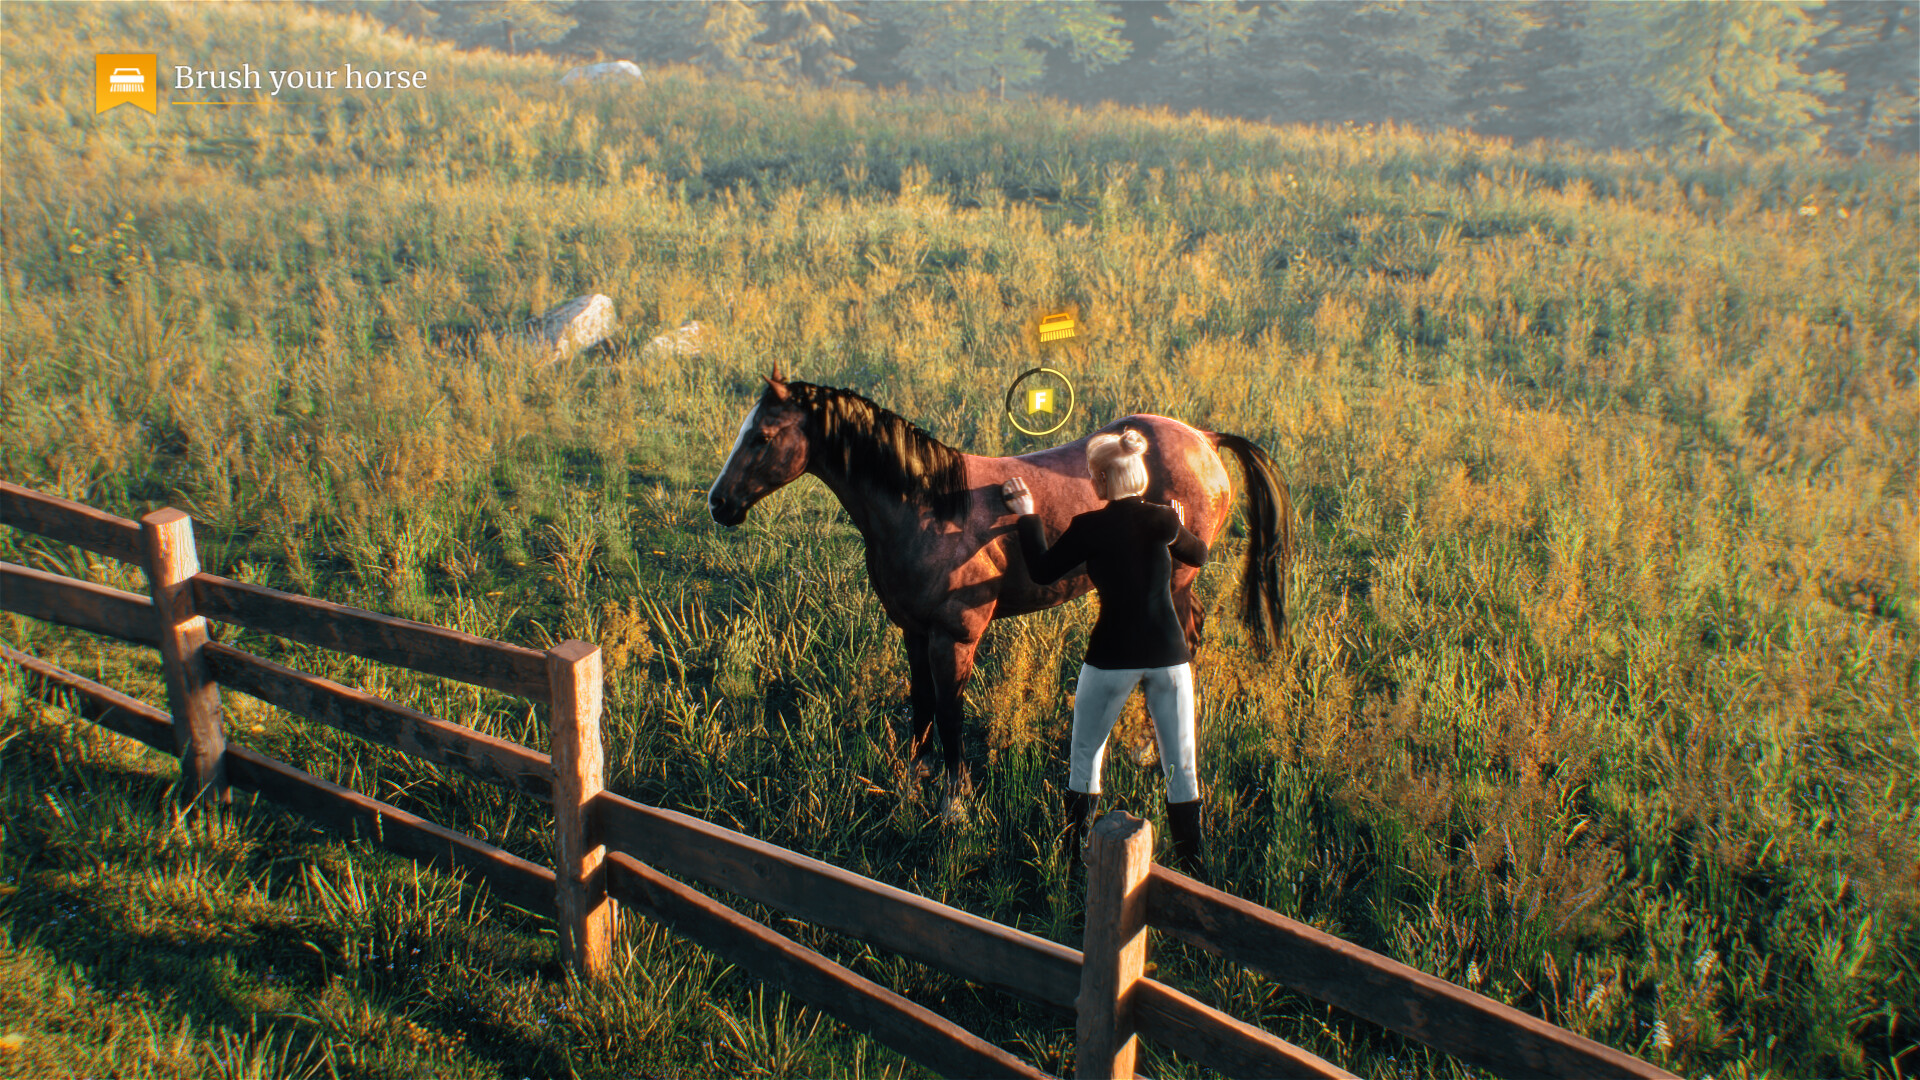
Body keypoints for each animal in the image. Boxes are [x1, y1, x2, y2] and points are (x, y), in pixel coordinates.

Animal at [706, 367, 1293, 820]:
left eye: (761, 437)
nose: (718, 504)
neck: (931, 507)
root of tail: (1204, 438)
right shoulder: (914, 633)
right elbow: (921, 705)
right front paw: (910, 784)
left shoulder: (955, 637)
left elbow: (949, 713)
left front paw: (953, 804)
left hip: (1171, 583)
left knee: (1178, 646)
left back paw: (1150, 749)